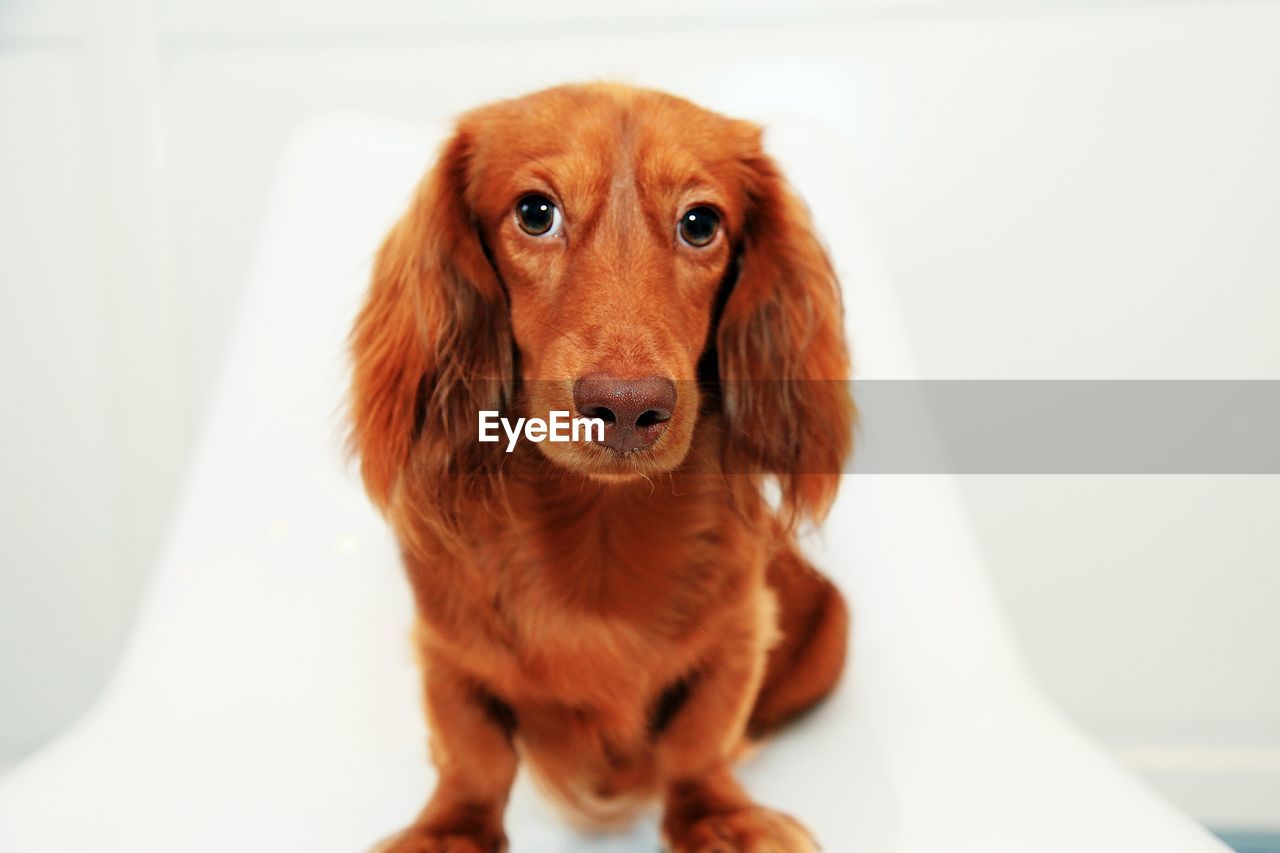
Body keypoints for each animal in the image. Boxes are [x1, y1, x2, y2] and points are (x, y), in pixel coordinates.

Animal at [345, 81, 855, 850]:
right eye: (535, 212)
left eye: (701, 223)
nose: (627, 407)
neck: (599, 534)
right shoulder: (446, 649)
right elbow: (474, 754)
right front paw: (449, 829)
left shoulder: (739, 631)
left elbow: (698, 741)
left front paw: (719, 816)